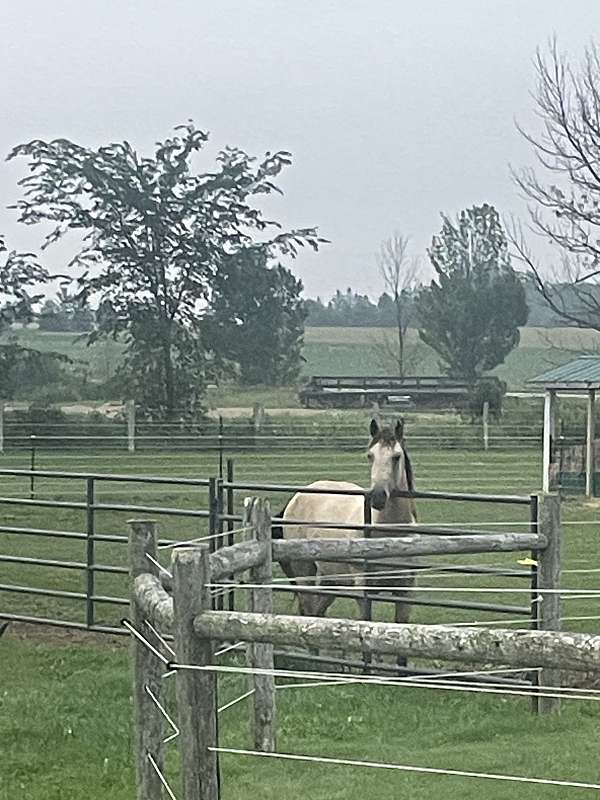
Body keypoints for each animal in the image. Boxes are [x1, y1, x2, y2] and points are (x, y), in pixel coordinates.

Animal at [273, 418, 417, 624]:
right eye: (370, 456)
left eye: (396, 456)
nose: (377, 497)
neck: (389, 534)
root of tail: (297, 496)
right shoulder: (363, 590)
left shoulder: (405, 590)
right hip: (304, 572)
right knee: (308, 610)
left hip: (331, 578)